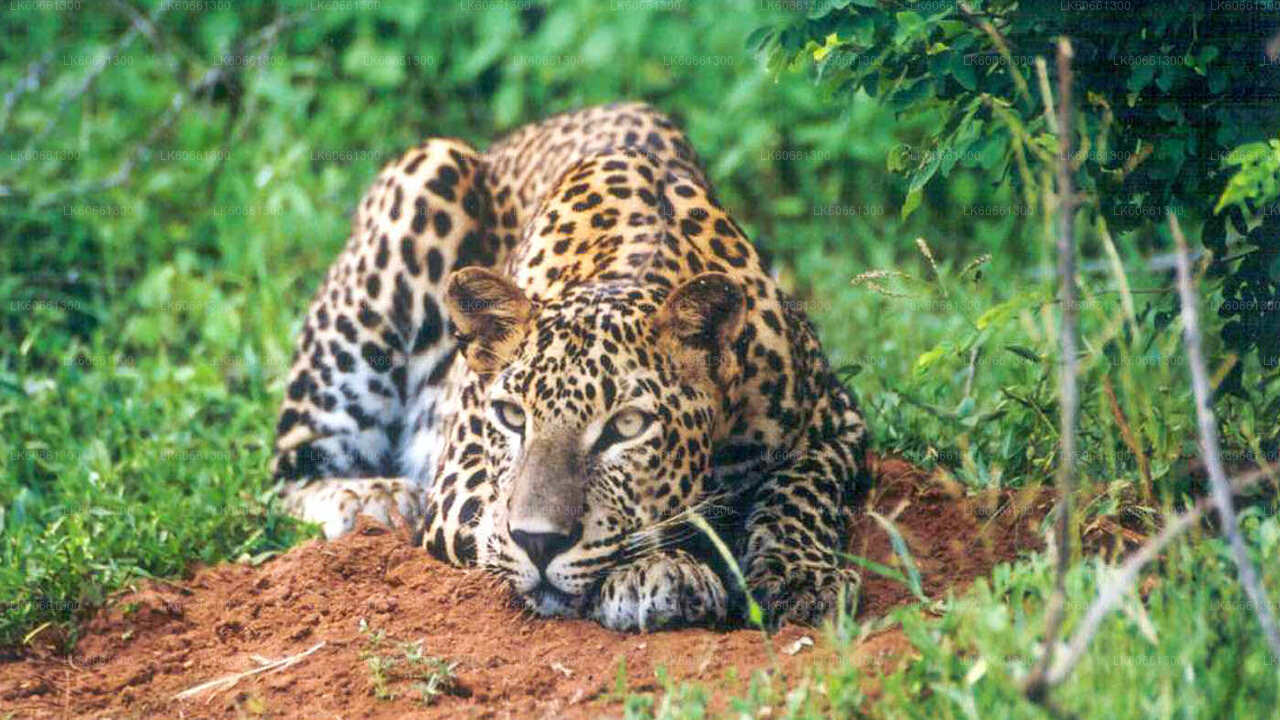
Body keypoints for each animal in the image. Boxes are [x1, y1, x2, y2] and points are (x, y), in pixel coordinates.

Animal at [270, 101, 870, 627]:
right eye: (513, 417)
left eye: (627, 426)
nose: (539, 542)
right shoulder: (460, 479)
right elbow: (497, 520)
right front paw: (660, 573)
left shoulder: (836, 420)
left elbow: (799, 492)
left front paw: (801, 579)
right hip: (422, 184)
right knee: (290, 469)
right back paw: (373, 499)